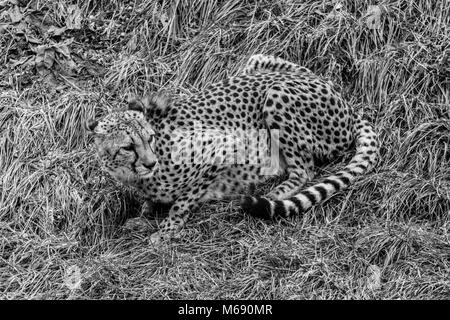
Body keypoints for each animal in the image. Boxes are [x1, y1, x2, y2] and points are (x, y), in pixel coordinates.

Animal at [86, 54, 378, 242]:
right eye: (128, 146)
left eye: (150, 138)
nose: (150, 163)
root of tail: (346, 102)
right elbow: (153, 200)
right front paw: (144, 216)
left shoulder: (225, 146)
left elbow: (183, 200)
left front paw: (168, 229)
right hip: (256, 61)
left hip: (277, 95)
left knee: (304, 170)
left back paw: (271, 194)